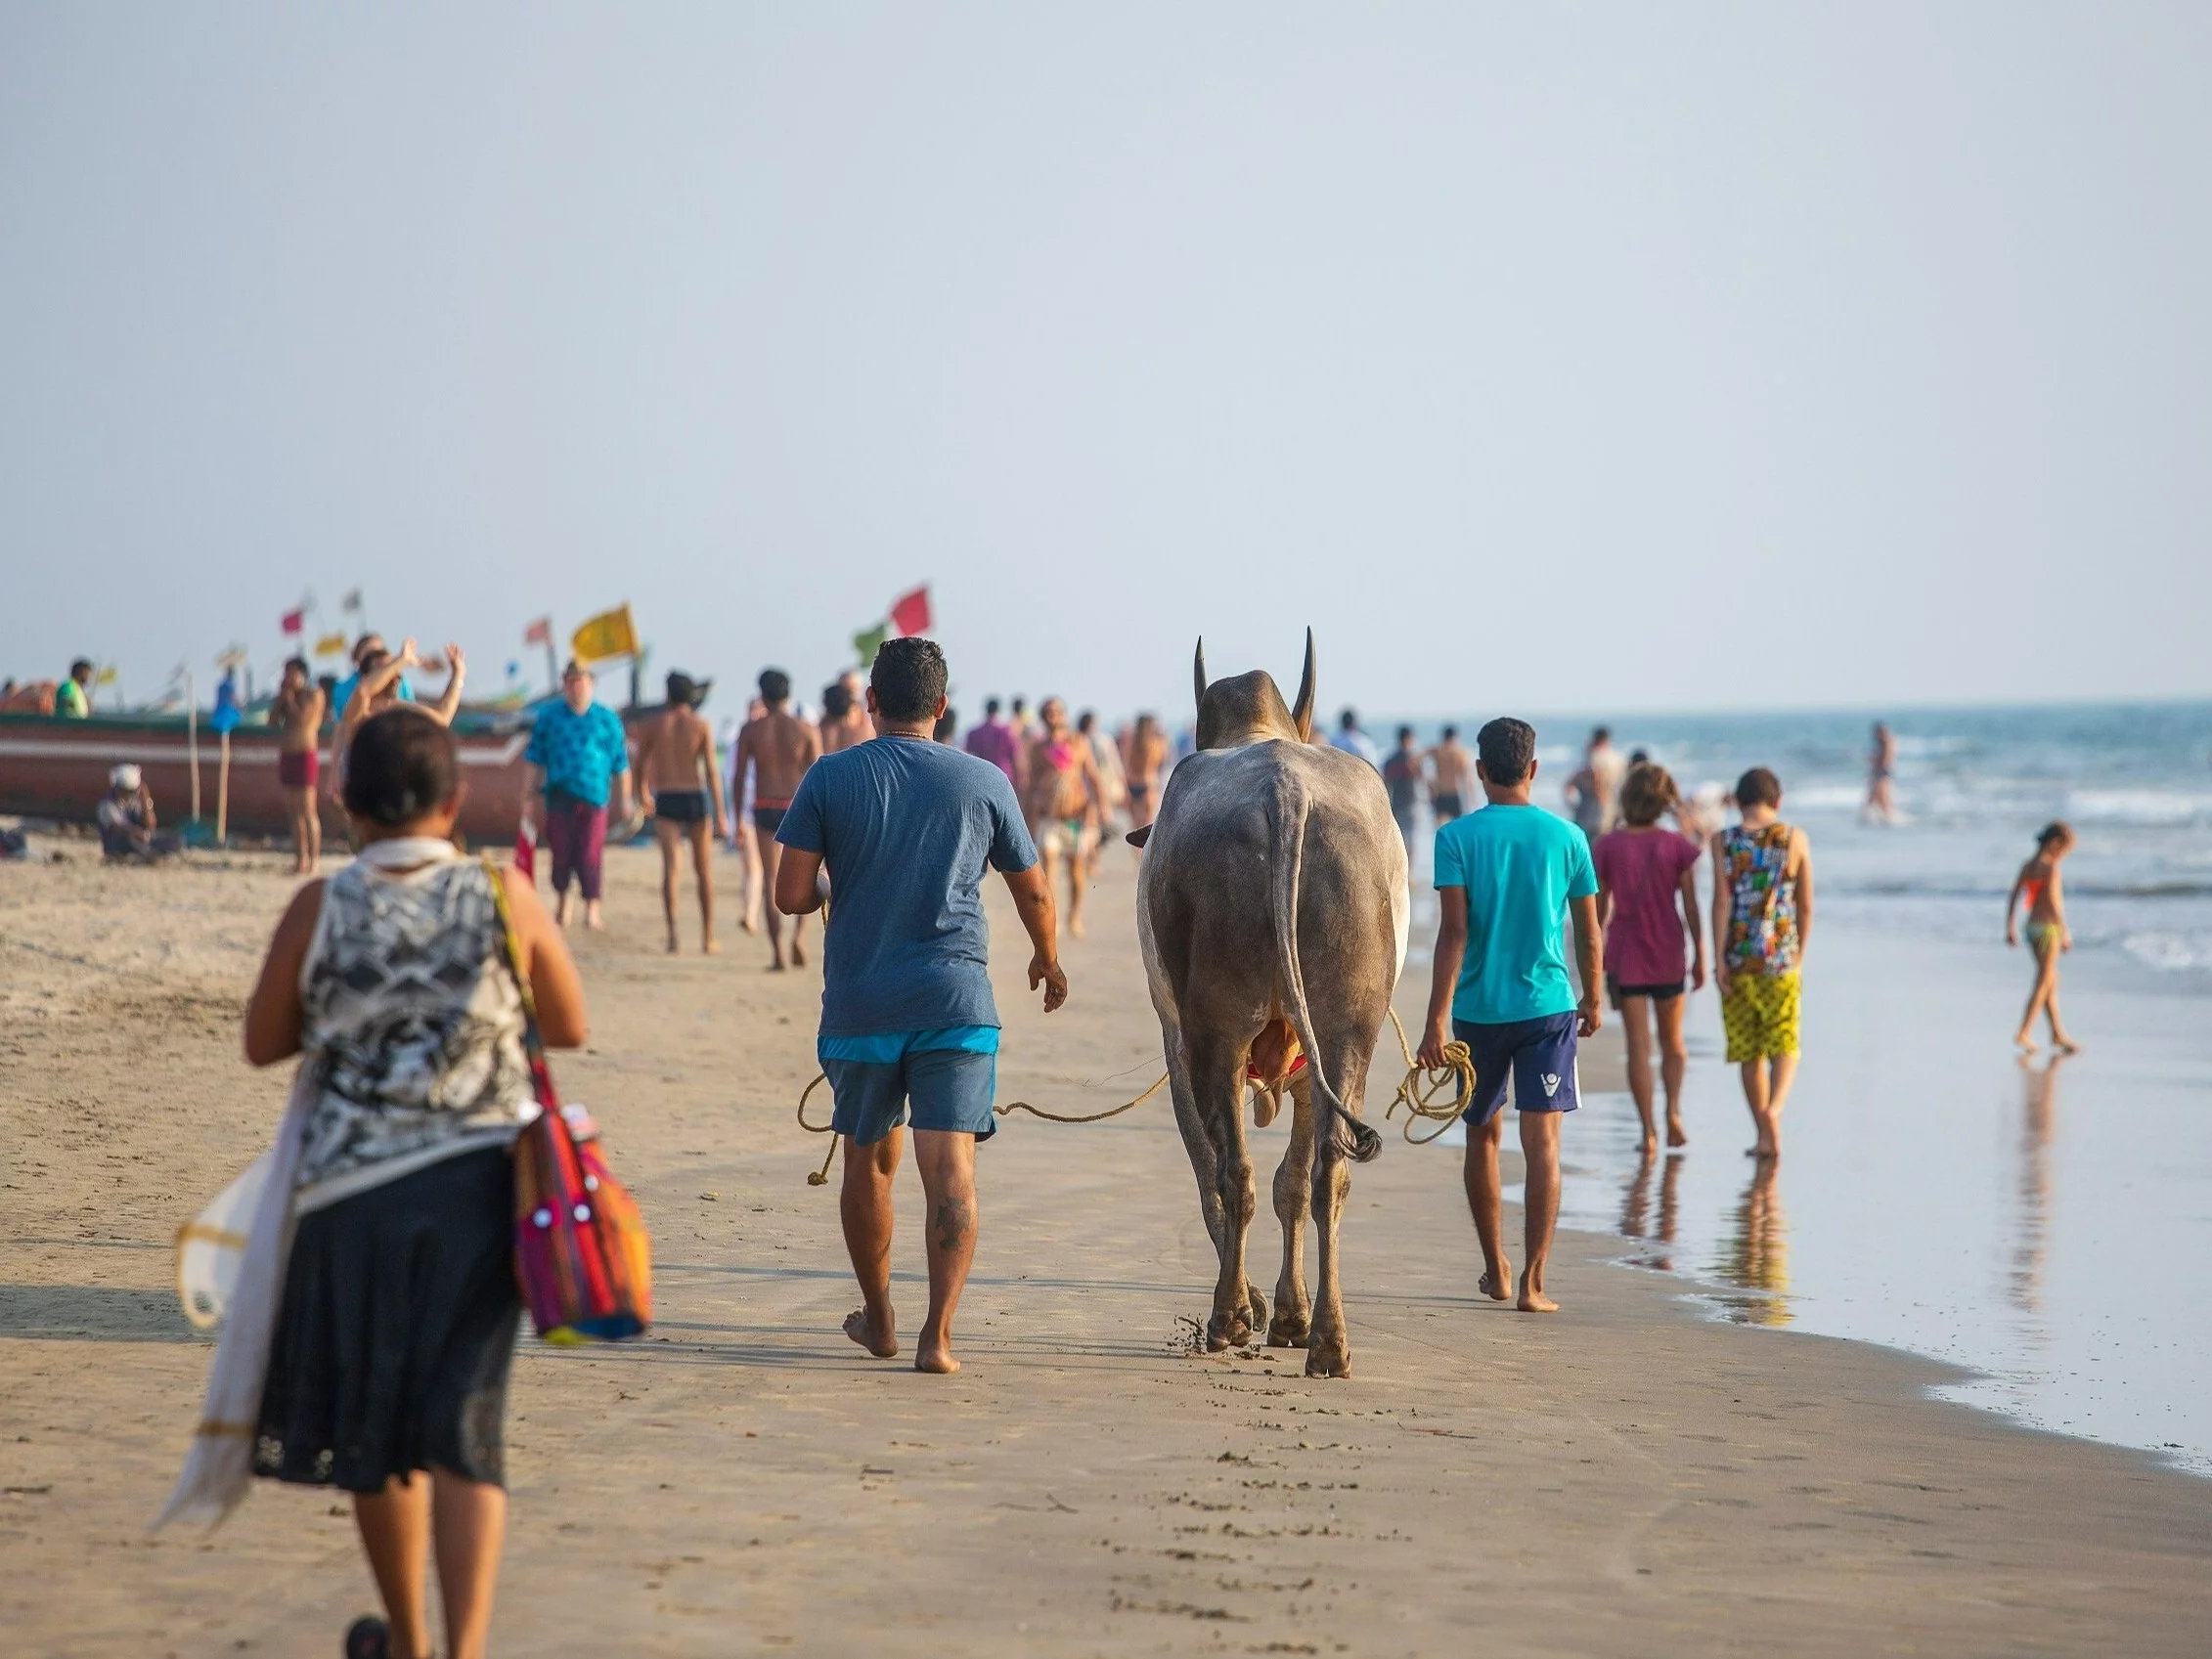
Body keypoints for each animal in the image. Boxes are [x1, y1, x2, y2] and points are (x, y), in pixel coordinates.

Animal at [1132, 633, 1406, 1379]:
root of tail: (1286, 791)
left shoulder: (1175, 1040)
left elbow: (1212, 1172)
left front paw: (1266, 1307)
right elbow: (1292, 1182)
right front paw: (1287, 1313)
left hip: (1215, 1029)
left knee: (1233, 1173)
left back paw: (1230, 1316)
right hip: (1345, 1028)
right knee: (1324, 1174)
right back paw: (1328, 1339)